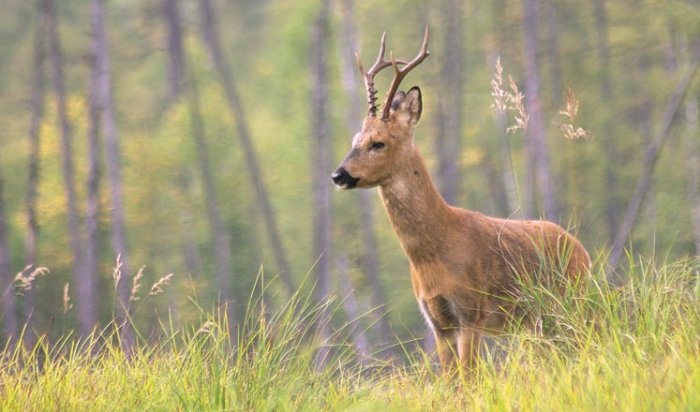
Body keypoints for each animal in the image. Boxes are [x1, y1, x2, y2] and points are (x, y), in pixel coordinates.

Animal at [332, 27, 592, 372]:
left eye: (378, 143)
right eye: (354, 140)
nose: (338, 175)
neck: (435, 252)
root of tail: (582, 251)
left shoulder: (471, 311)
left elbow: (471, 376)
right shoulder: (438, 322)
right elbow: (451, 379)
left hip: (571, 298)